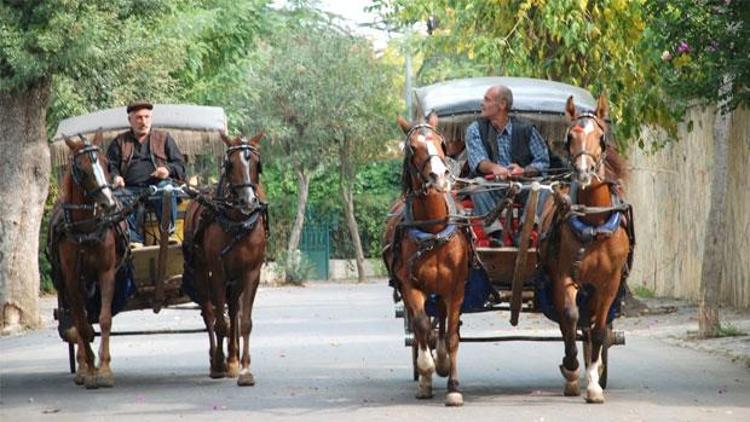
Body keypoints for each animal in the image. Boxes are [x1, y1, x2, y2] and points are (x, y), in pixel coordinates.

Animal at [48, 132, 126, 390]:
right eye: (81, 169)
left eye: (106, 164)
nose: (108, 204)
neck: (86, 229)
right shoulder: (72, 278)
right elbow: (81, 325)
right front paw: (90, 368)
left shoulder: (107, 272)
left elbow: (104, 319)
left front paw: (104, 369)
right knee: (76, 321)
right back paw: (82, 367)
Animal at [184, 132, 268, 386]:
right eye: (230, 165)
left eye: (257, 164)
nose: (249, 201)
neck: (237, 223)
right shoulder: (217, 272)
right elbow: (219, 322)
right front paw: (218, 363)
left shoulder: (251, 273)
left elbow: (244, 321)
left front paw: (245, 369)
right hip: (201, 273)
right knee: (210, 313)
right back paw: (217, 360)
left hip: (236, 278)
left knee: (232, 311)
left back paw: (232, 359)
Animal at [384, 114, 472, 406]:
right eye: (412, 147)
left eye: (441, 143)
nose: (439, 176)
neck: (433, 229)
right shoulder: (410, 285)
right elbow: (422, 326)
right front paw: (425, 370)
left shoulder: (456, 287)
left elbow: (453, 334)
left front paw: (454, 386)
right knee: (421, 325)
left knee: (443, 320)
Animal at [540, 95, 636, 402]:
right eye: (570, 137)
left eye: (601, 137)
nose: (583, 173)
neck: (594, 220)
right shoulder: (564, 277)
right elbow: (570, 318)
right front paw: (571, 370)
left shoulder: (609, 283)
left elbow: (598, 329)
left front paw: (594, 383)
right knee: (569, 322)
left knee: (591, 323)